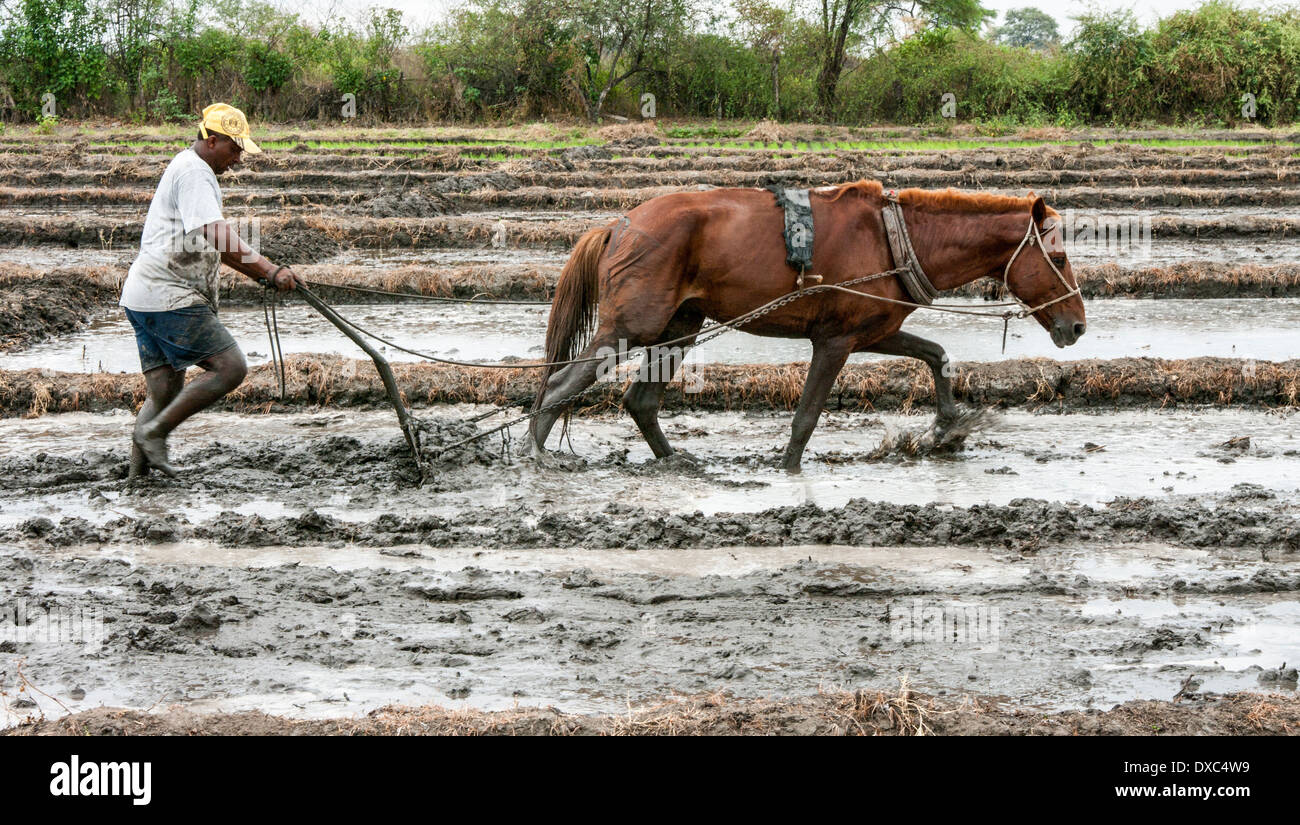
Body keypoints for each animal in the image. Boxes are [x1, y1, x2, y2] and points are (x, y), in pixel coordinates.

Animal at [527, 181, 1086, 470]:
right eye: (1058, 257)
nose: (1078, 326)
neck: (893, 240)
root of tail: (618, 225)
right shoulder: (834, 341)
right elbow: (807, 416)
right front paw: (788, 470)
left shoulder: (873, 331)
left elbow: (937, 355)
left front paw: (948, 428)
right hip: (630, 327)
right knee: (559, 385)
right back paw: (534, 455)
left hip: (680, 326)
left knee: (640, 401)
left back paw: (675, 460)